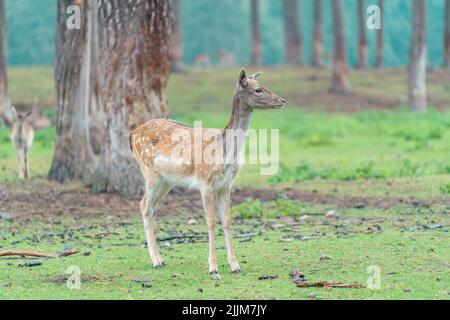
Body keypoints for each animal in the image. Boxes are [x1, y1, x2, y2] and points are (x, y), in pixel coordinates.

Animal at [130, 69, 284, 276]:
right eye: (258, 89)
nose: (282, 100)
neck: (225, 151)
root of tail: (132, 135)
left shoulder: (226, 186)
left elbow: (227, 221)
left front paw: (235, 265)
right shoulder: (205, 182)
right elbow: (211, 222)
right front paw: (213, 267)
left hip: (166, 181)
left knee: (147, 206)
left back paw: (161, 259)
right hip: (149, 173)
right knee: (144, 206)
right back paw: (156, 261)